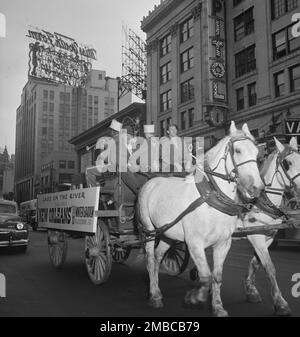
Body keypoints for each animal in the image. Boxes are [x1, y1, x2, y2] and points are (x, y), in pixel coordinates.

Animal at [137, 121, 264, 316]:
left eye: (257, 153)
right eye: (238, 151)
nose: (257, 188)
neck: (212, 199)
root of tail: (151, 181)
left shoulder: (223, 243)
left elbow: (216, 276)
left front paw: (218, 307)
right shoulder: (194, 242)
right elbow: (205, 276)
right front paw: (194, 298)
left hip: (167, 232)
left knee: (158, 257)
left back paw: (157, 290)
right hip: (149, 230)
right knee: (150, 260)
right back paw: (154, 296)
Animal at [243, 136, 300, 316]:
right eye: (288, 162)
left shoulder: (268, 236)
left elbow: (256, 263)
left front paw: (251, 291)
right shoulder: (255, 236)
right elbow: (269, 267)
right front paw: (281, 303)